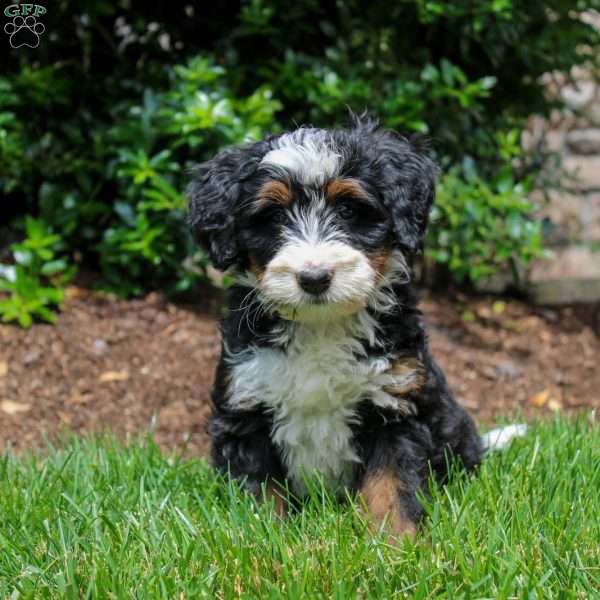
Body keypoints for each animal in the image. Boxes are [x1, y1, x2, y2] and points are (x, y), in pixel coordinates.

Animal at [186, 115, 516, 540]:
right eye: (274, 217)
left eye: (347, 210)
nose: (314, 278)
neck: (321, 325)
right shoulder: (246, 405)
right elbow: (260, 493)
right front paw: (265, 540)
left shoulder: (395, 403)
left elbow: (390, 485)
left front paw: (399, 544)